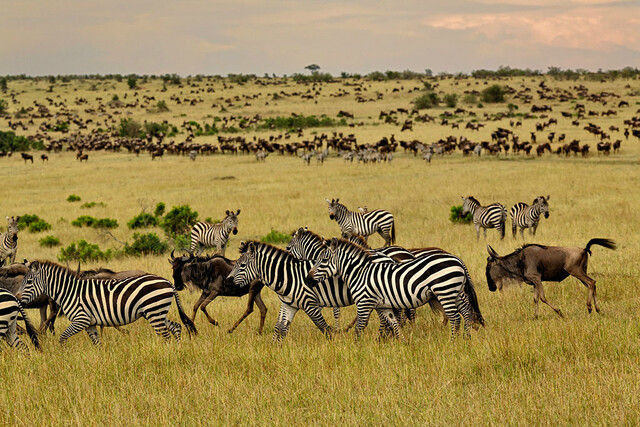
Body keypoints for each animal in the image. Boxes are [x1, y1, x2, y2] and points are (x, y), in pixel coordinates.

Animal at [20, 260, 196, 346]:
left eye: (28, 282)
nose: (17, 298)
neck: (70, 292)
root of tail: (168, 282)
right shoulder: (90, 323)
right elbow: (97, 343)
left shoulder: (81, 320)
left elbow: (62, 338)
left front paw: (64, 356)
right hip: (156, 312)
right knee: (176, 327)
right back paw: (177, 350)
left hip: (154, 311)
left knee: (165, 335)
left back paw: (168, 353)